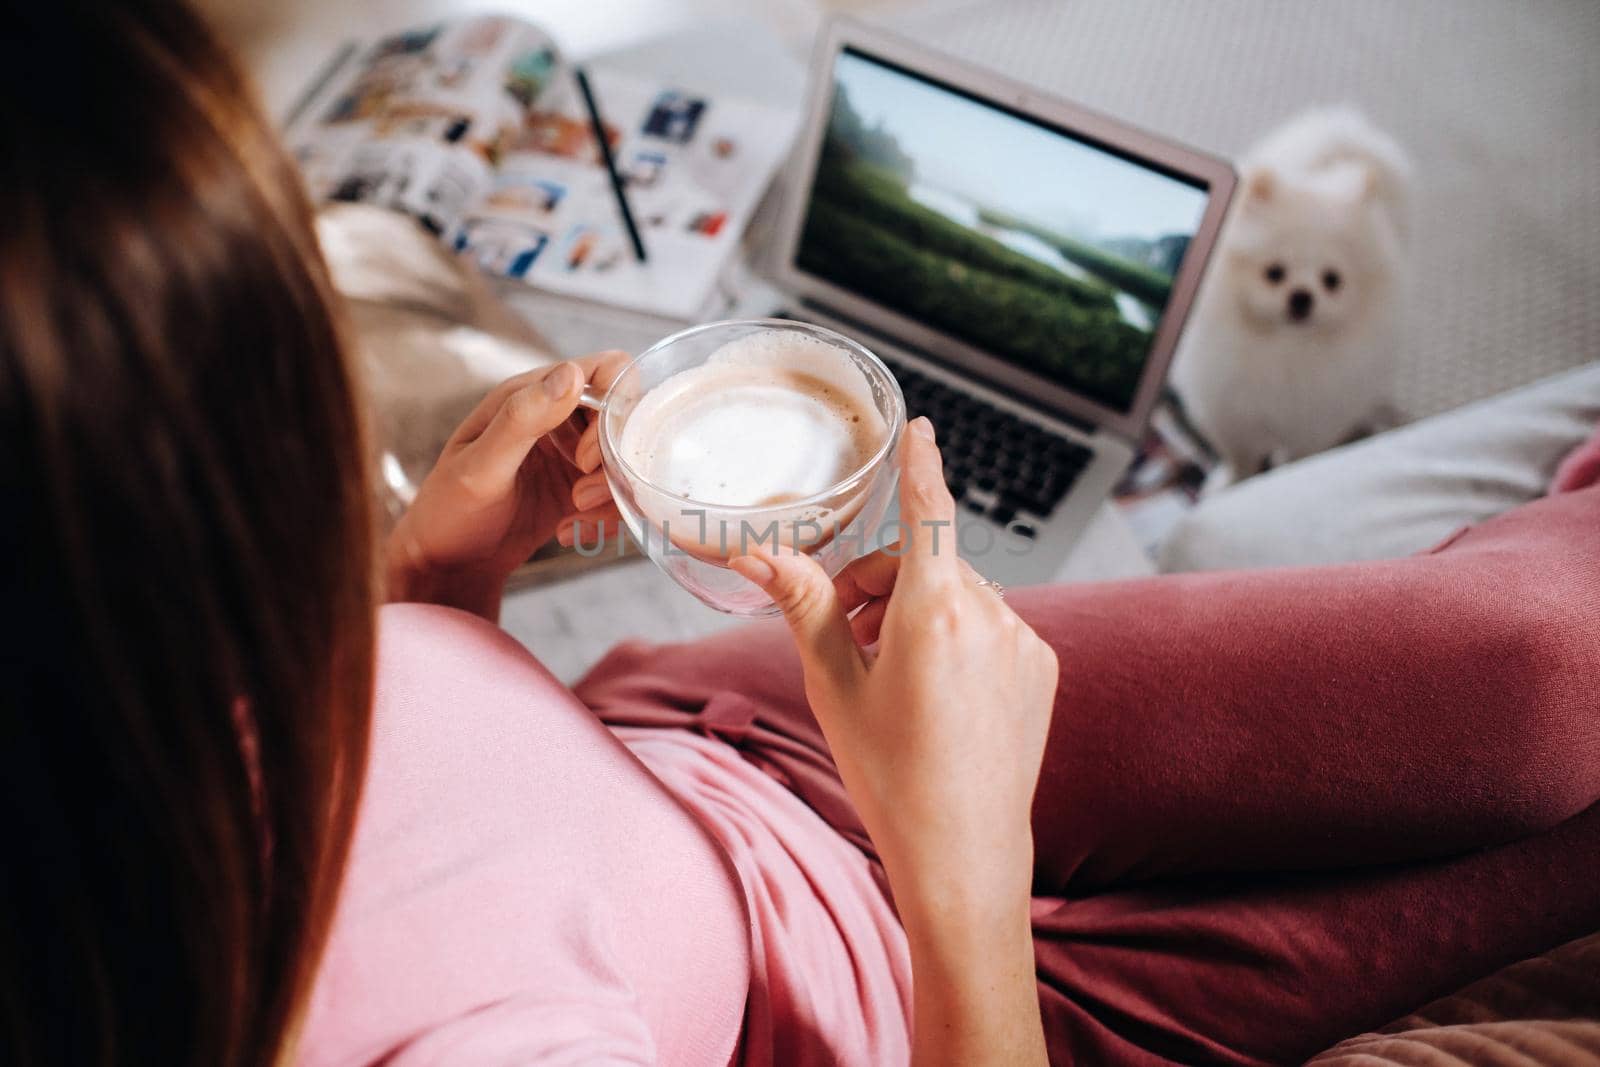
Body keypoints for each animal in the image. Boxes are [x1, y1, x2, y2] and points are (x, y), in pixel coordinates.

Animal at [1164, 108, 1414, 492]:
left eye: (1332, 280)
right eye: (1274, 273)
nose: (1301, 297)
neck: (1284, 352)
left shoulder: (1310, 426)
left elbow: (1295, 460)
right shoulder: (1231, 416)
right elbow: (1240, 460)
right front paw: (1229, 484)